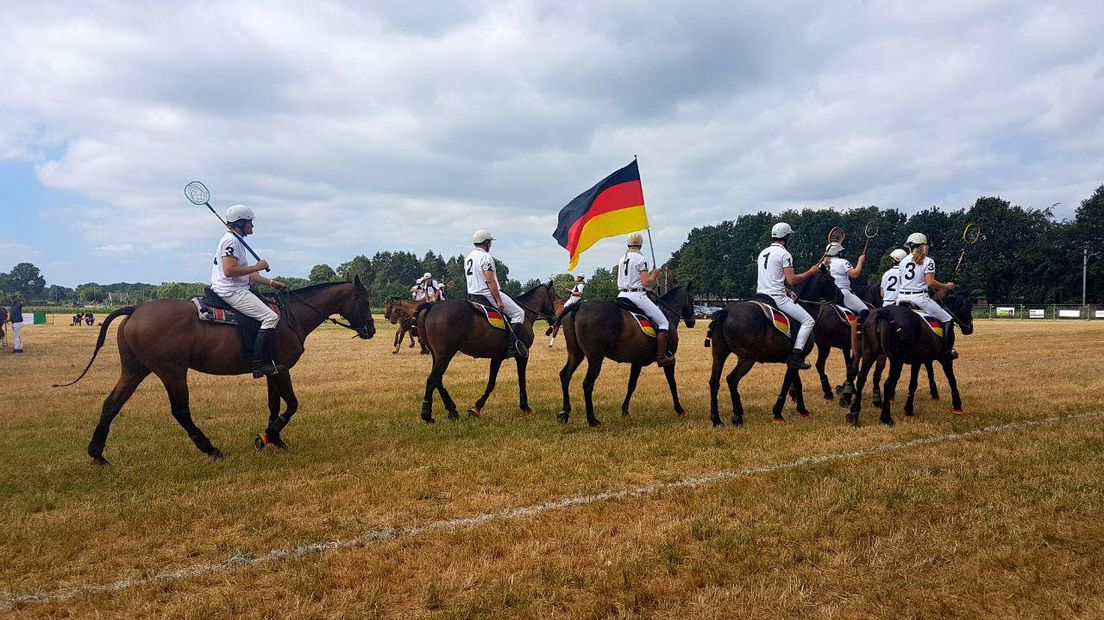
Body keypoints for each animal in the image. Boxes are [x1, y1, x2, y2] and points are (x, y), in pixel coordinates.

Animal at [58, 275, 377, 463]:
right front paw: (266, 436)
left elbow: (274, 404)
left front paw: (273, 438)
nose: (371, 330)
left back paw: (97, 454)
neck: (292, 317)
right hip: (172, 371)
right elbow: (292, 405)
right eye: (364, 300)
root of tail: (135, 309)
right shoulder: (282, 369)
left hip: (135, 369)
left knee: (111, 404)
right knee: (180, 412)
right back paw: (210, 448)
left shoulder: (272, 369)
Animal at [415, 281, 556, 421]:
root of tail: (432, 306)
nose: (554, 318)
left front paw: (476, 408)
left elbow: (491, 383)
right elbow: (520, 381)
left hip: (437, 355)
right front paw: (525, 407)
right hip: (445, 355)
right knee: (432, 379)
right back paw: (427, 414)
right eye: (554, 297)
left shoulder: (497, 357)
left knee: (437, 379)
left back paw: (452, 410)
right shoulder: (522, 356)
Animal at [556, 284, 693, 423]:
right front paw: (679, 409)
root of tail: (578, 306)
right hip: (595, 358)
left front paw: (625, 410)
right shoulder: (669, 360)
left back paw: (565, 413)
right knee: (587, 383)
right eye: (692, 299)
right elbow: (672, 383)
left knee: (565, 375)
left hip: (576, 354)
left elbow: (631, 385)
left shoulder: (637, 362)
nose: (692, 321)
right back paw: (592, 419)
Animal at [706, 265, 843, 423]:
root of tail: (726, 311)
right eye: (832, 279)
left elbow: (797, 384)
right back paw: (737, 415)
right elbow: (786, 384)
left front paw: (802, 410)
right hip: (748, 358)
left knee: (714, 382)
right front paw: (778, 413)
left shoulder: (795, 360)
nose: (841, 296)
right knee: (732, 379)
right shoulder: (797, 358)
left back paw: (716, 419)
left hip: (719, 354)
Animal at [843, 289, 975, 423]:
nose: (969, 329)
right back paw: (886, 417)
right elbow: (951, 380)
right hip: (896, 359)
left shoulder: (918, 360)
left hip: (870, 353)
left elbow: (914, 383)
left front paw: (909, 410)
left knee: (861, 378)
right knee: (888, 383)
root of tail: (881, 313)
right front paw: (957, 406)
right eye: (969, 307)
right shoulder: (944, 359)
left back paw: (853, 413)